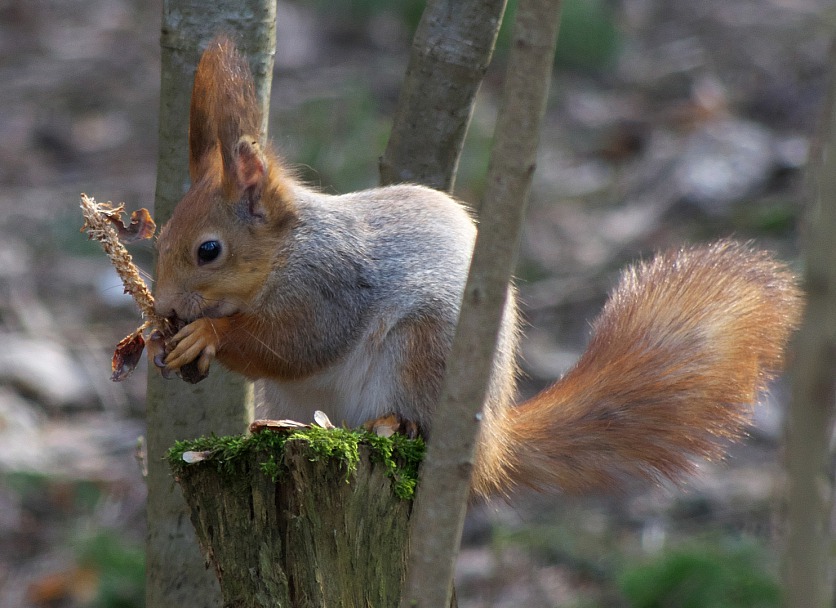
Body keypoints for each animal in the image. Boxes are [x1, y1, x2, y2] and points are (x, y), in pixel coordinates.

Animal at [150, 34, 804, 498]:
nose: (166, 309)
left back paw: (394, 425)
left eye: (208, 250)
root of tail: (488, 443)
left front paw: (206, 334)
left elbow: (297, 342)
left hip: (423, 351)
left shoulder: (328, 285)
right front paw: (170, 345)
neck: (286, 252)